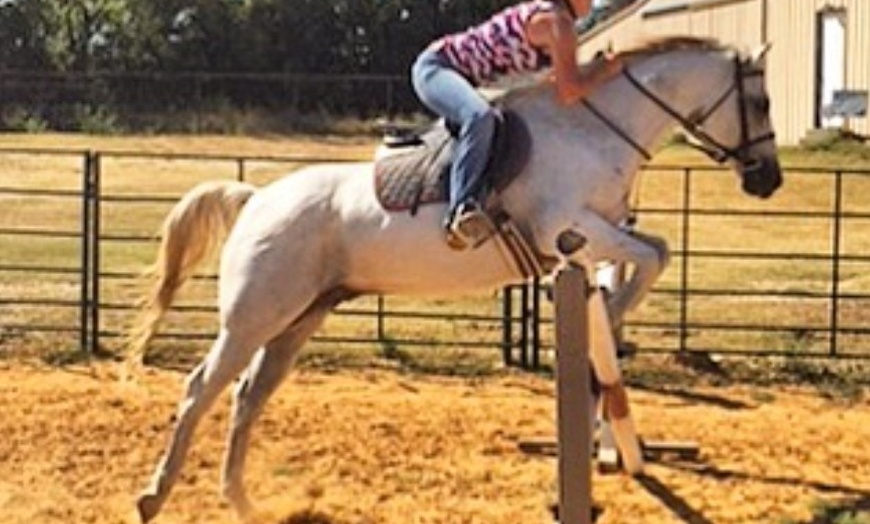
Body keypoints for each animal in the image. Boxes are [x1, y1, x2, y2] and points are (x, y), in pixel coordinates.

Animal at [131, 37, 782, 522]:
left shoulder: (599, 231)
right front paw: (613, 317)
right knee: (199, 389)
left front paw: (612, 320)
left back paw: (240, 501)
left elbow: (656, 252)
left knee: (247, 396)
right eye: (762, 102)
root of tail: (256, 198)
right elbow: (651, 257)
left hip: (298, 320)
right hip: (252, 320)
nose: (768, 181)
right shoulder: (567, 227)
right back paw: (153, 497)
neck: (595, 132)